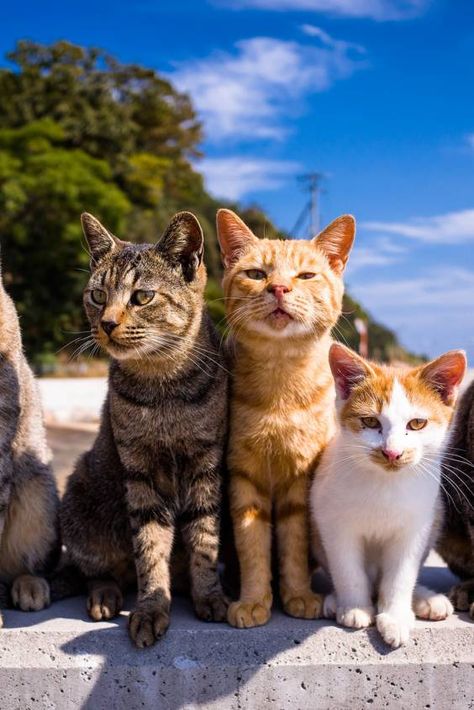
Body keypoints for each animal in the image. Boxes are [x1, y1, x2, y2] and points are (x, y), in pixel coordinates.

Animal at [61, 213, 230, 652]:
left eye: (142, 297)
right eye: (98, 295)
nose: (106, 323)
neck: (162, 385)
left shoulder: (205, 463)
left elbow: (204, 538)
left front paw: (209, 594)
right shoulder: (139, 471)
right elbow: (150, 549)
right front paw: (152, 607)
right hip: (82, 497)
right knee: (98, 570)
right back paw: (104, 595)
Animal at [217, 207, 354, 628]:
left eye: (306, 276)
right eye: (256, 273)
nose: (278, 288)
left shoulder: (300, 479)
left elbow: (293, 546)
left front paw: (298, 595)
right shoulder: (244, 477)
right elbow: (252, 547)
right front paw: (253, 600)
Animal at [312, 344, 466, 652]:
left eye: (417, 423)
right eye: (370, 421)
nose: (392, 453)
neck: (385, 485)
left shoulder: (416, 526)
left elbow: (402, 574)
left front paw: (395, 616)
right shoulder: (331, 519)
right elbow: (346, 567)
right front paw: (355, 606)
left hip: (436, 516)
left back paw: (425, 599)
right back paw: (337, 600)